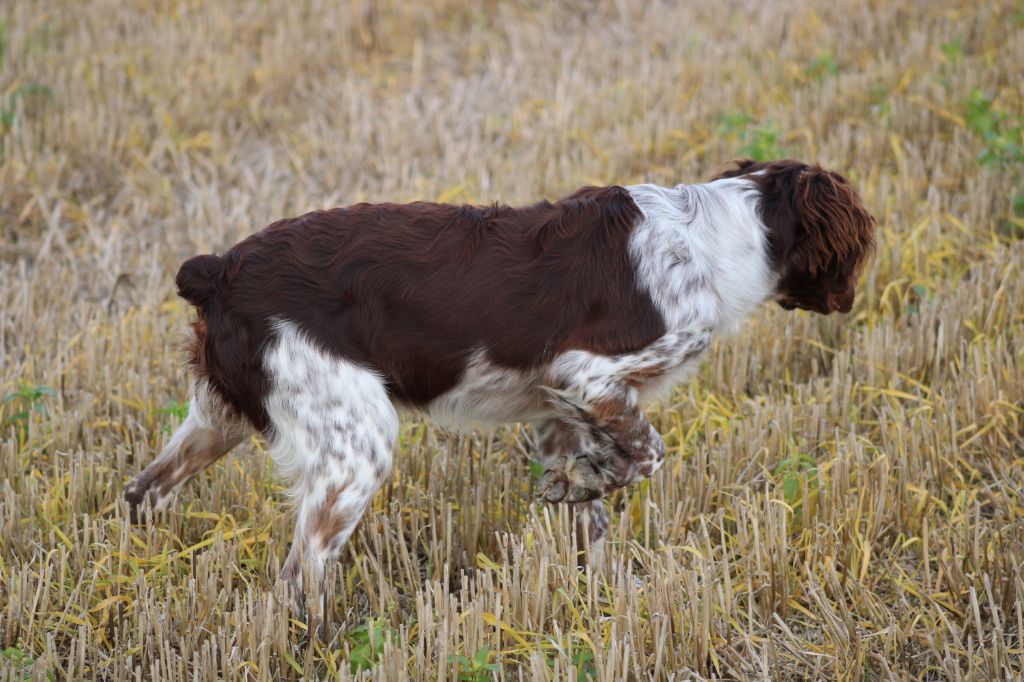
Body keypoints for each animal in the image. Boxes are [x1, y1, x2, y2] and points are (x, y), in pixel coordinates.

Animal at [125, 159, 880, 606]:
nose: (849, 299)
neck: (716, 236)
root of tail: (218, 271)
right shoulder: (590, 375)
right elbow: (648, 457)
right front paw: (577, 486)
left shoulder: (562, 415)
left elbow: (593, 514)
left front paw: (594, 588)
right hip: (356, 446)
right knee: (297, 578)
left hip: (218, 418)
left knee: (143, 493)